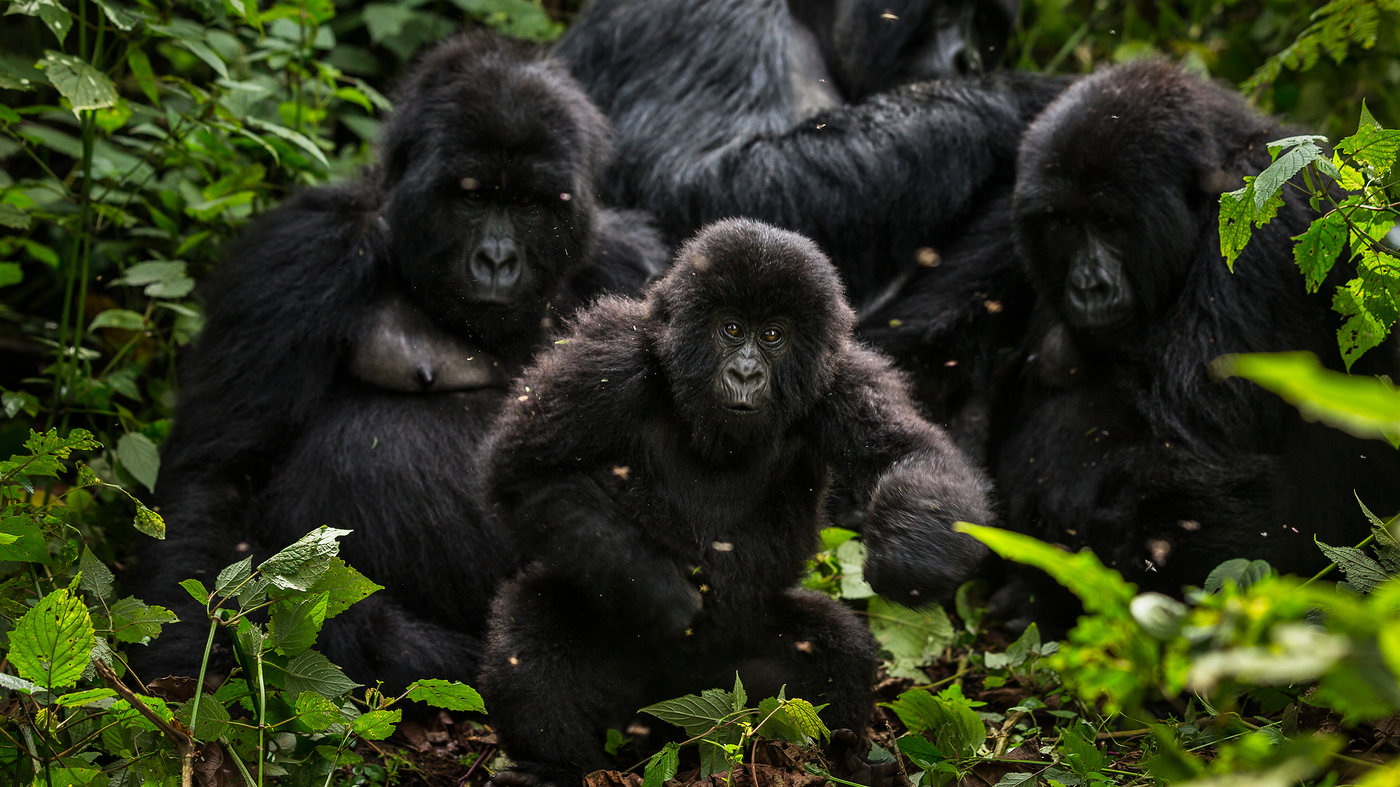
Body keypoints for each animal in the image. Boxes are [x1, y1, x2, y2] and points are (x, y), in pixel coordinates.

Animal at [133, 35, 669, 686]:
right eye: (471, 197)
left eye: (529, 205)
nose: (497, 261)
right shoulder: (301, 253)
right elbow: (222, 473)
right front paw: (185, 663)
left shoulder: (633, 264)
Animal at [481, 217, 996, 778]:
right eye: (730, 329)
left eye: (772, 335)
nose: (746, 373)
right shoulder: (610, 356)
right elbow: (529, 470)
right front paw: (659, 591)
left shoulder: (843, 378)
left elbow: (910, 455)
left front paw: (911, 561)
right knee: (529, 632)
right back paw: (556, 768)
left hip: (739, 683)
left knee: (837, 649)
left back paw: (843, 756)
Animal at [554, 0, 1069, 456]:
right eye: (947, 7)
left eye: (984, 24)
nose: (969, 61)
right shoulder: (702, 15)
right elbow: (708, 186)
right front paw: (1029, 96)